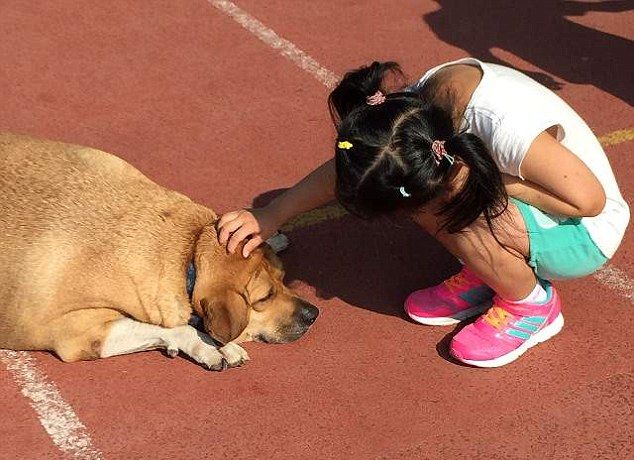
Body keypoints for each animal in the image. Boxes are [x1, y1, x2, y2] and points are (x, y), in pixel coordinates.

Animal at [0, 133, 316, 370]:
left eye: (283, 277)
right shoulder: (77, 332)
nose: (313, 314)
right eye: (264, 298)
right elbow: (174, 327)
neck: (188, 251)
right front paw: (205, 344)